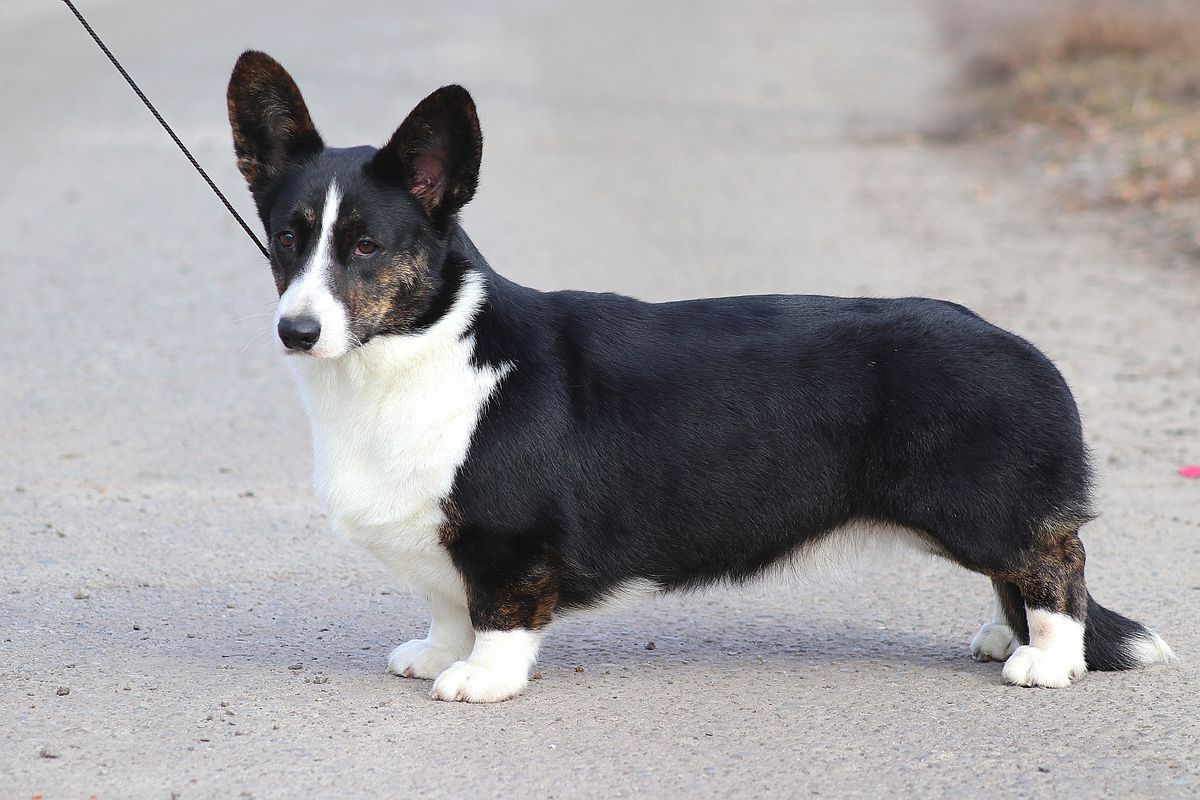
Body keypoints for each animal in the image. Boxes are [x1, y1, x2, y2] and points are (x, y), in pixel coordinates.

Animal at [225, 51, 1171, 700]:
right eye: (286, 238)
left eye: (366, 247)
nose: (296, 331)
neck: (408, 358)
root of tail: (1020, 347)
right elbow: (447, 604)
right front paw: (434, 654)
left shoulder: (508, 541)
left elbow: (495, 614)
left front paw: (479, 678)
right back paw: (1004, 637)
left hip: (983, 510)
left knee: (1057, 562)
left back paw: (1047, 660)